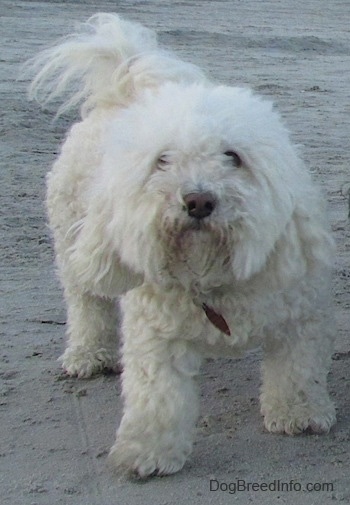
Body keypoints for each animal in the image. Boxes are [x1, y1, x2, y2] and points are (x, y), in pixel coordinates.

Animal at [30, 12, 336, 476]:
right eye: (162, 160)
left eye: (233, 156)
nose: (198, 201)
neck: (213, 274)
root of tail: (121, 91)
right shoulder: (155, 333)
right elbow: (157, 395)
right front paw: (148, 451)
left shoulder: (295, 311)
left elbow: (296, 367)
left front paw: (297, 413)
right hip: (73, 242)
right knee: (87, 302)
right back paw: (88, 354)